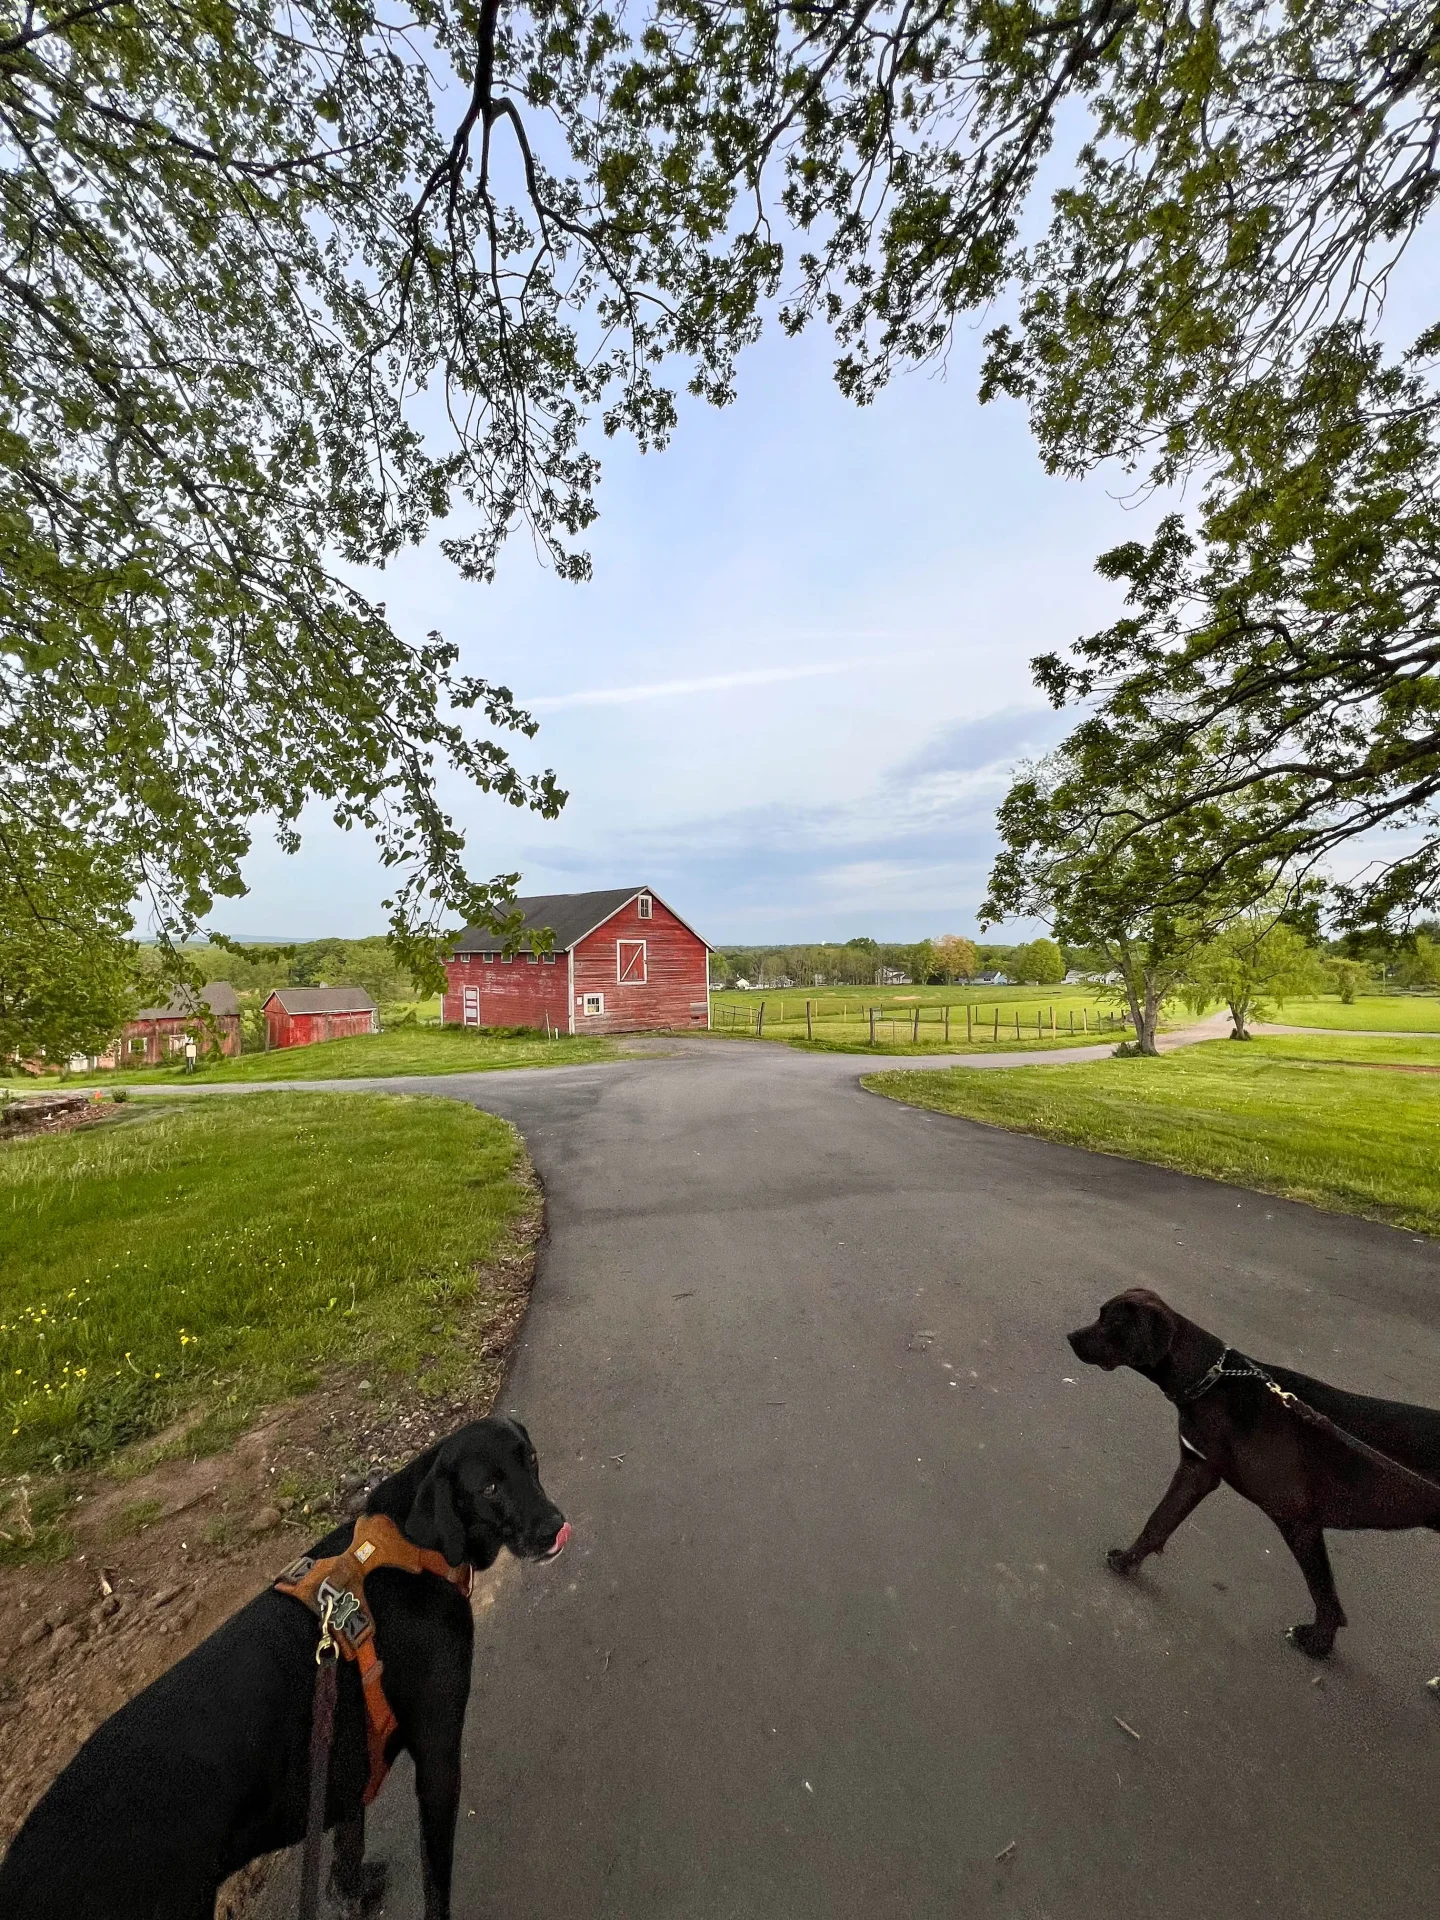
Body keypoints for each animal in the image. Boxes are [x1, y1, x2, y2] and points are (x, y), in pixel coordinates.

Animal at [0, 1413, 572, 1920]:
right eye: (490, 1487)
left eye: (531, 1459)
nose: (555, 1529)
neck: (413, 1544)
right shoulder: (438, 1756)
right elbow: (436, 1881)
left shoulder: (345, 1767)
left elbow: (346, 1853)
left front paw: (350, 1896)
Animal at [1075, 1297, 1440, 1658]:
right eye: (1101, 1315)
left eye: (1112, 1323)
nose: (1070, 1337)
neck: (1212, 1381)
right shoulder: (1197, 1469)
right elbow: (1159, 1521)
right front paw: (1127, 1562)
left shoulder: (1297, 1519)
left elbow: (1323, 1592)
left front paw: (1317, 1643)